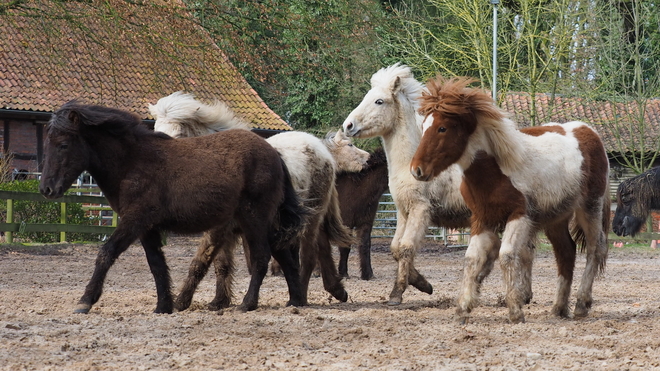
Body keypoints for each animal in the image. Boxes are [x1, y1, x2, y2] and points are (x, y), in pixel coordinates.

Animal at [41, 101, 306, 314]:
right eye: (47, 144)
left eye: (63, 145)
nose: (47, 189)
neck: (132, 162)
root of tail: (274, 153)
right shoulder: (147, 228)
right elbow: (157, 265)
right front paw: (163, 306)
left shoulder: (134, 221)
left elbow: (106, 253)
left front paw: (85, 301)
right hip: (263, 223)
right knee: (285, 258)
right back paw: (296, 301)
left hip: (254, 219)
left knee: (262, 257)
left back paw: (248, 304)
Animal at [148, 91, 372, 308]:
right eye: (156, 131)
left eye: (178, 135)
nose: (368, 158)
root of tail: (321, 150)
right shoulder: (224, 230)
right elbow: (221, 264)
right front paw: (218, 301)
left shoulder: (220, 229)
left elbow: (201, 260)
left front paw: (182, 301)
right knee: (323, 247)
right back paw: (336, 290)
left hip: (310, 219)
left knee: (308, 256)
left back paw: (301, 296)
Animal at [338, 147, 390, 280]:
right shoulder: (346, 223)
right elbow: (345, 247)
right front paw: (343, 273)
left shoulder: (365, 223)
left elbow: (365, 245)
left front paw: (368, 274)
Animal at [410, 77, 612, 324]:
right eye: (423, 127)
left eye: (442, 128)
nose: (417, 170)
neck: (496, 170)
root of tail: (589, 131)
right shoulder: (481, 219)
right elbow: (471, 258)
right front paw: (463, 308)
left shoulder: (520, 215)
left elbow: (506, 255)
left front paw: (515, 310)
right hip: (556, 217)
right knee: (566, 252)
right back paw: (558, 308)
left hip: (590, 207)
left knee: (595, 248)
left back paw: (582, 305)